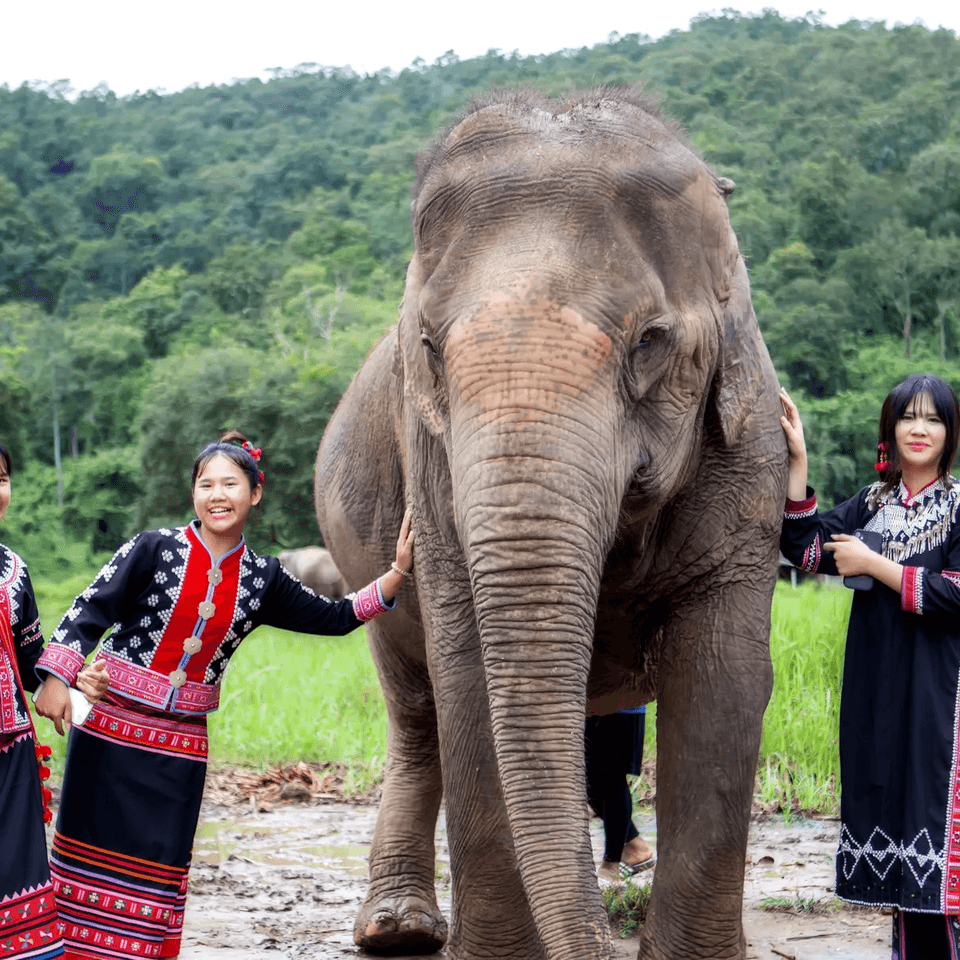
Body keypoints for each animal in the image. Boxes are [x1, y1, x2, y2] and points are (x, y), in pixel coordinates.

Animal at [315, 88, 788, 960]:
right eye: (426, 344)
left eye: (650, 342)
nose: (601, 942)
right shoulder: (429, 460)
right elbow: (468, 678)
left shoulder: (749, 445)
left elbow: (724, 683)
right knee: (418, 712)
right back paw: (397, 929)